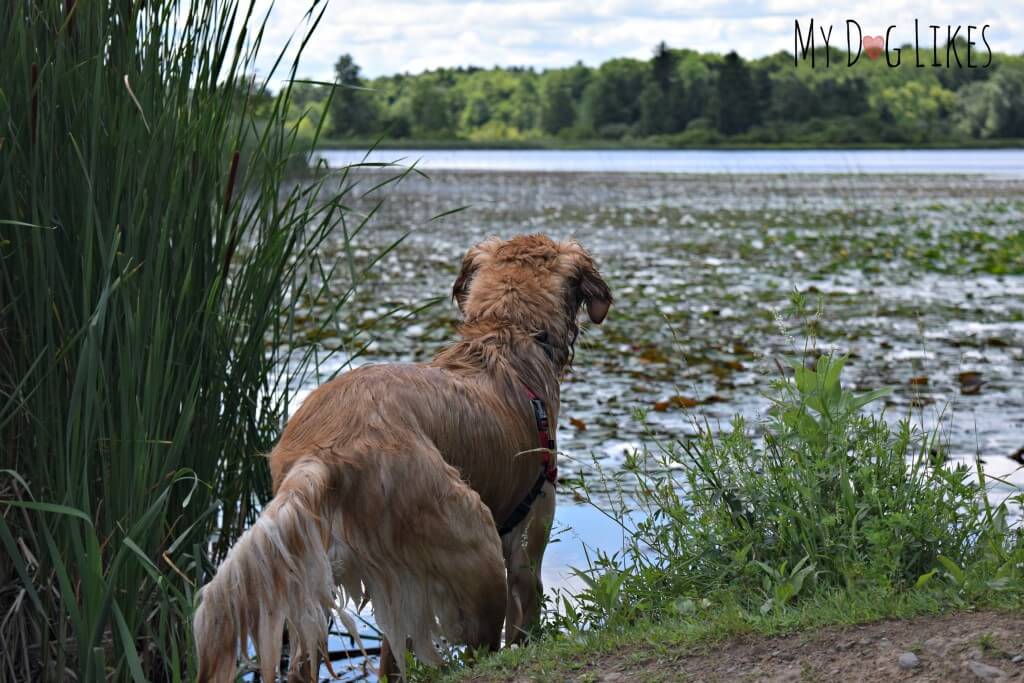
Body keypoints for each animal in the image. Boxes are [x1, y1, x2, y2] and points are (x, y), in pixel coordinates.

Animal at [191, 233, 606, 679]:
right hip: (479, 550)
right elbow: (525, 616)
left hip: (315, 581)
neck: (506, 333)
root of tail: (325, 451)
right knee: (482, 650)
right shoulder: (529, 535)